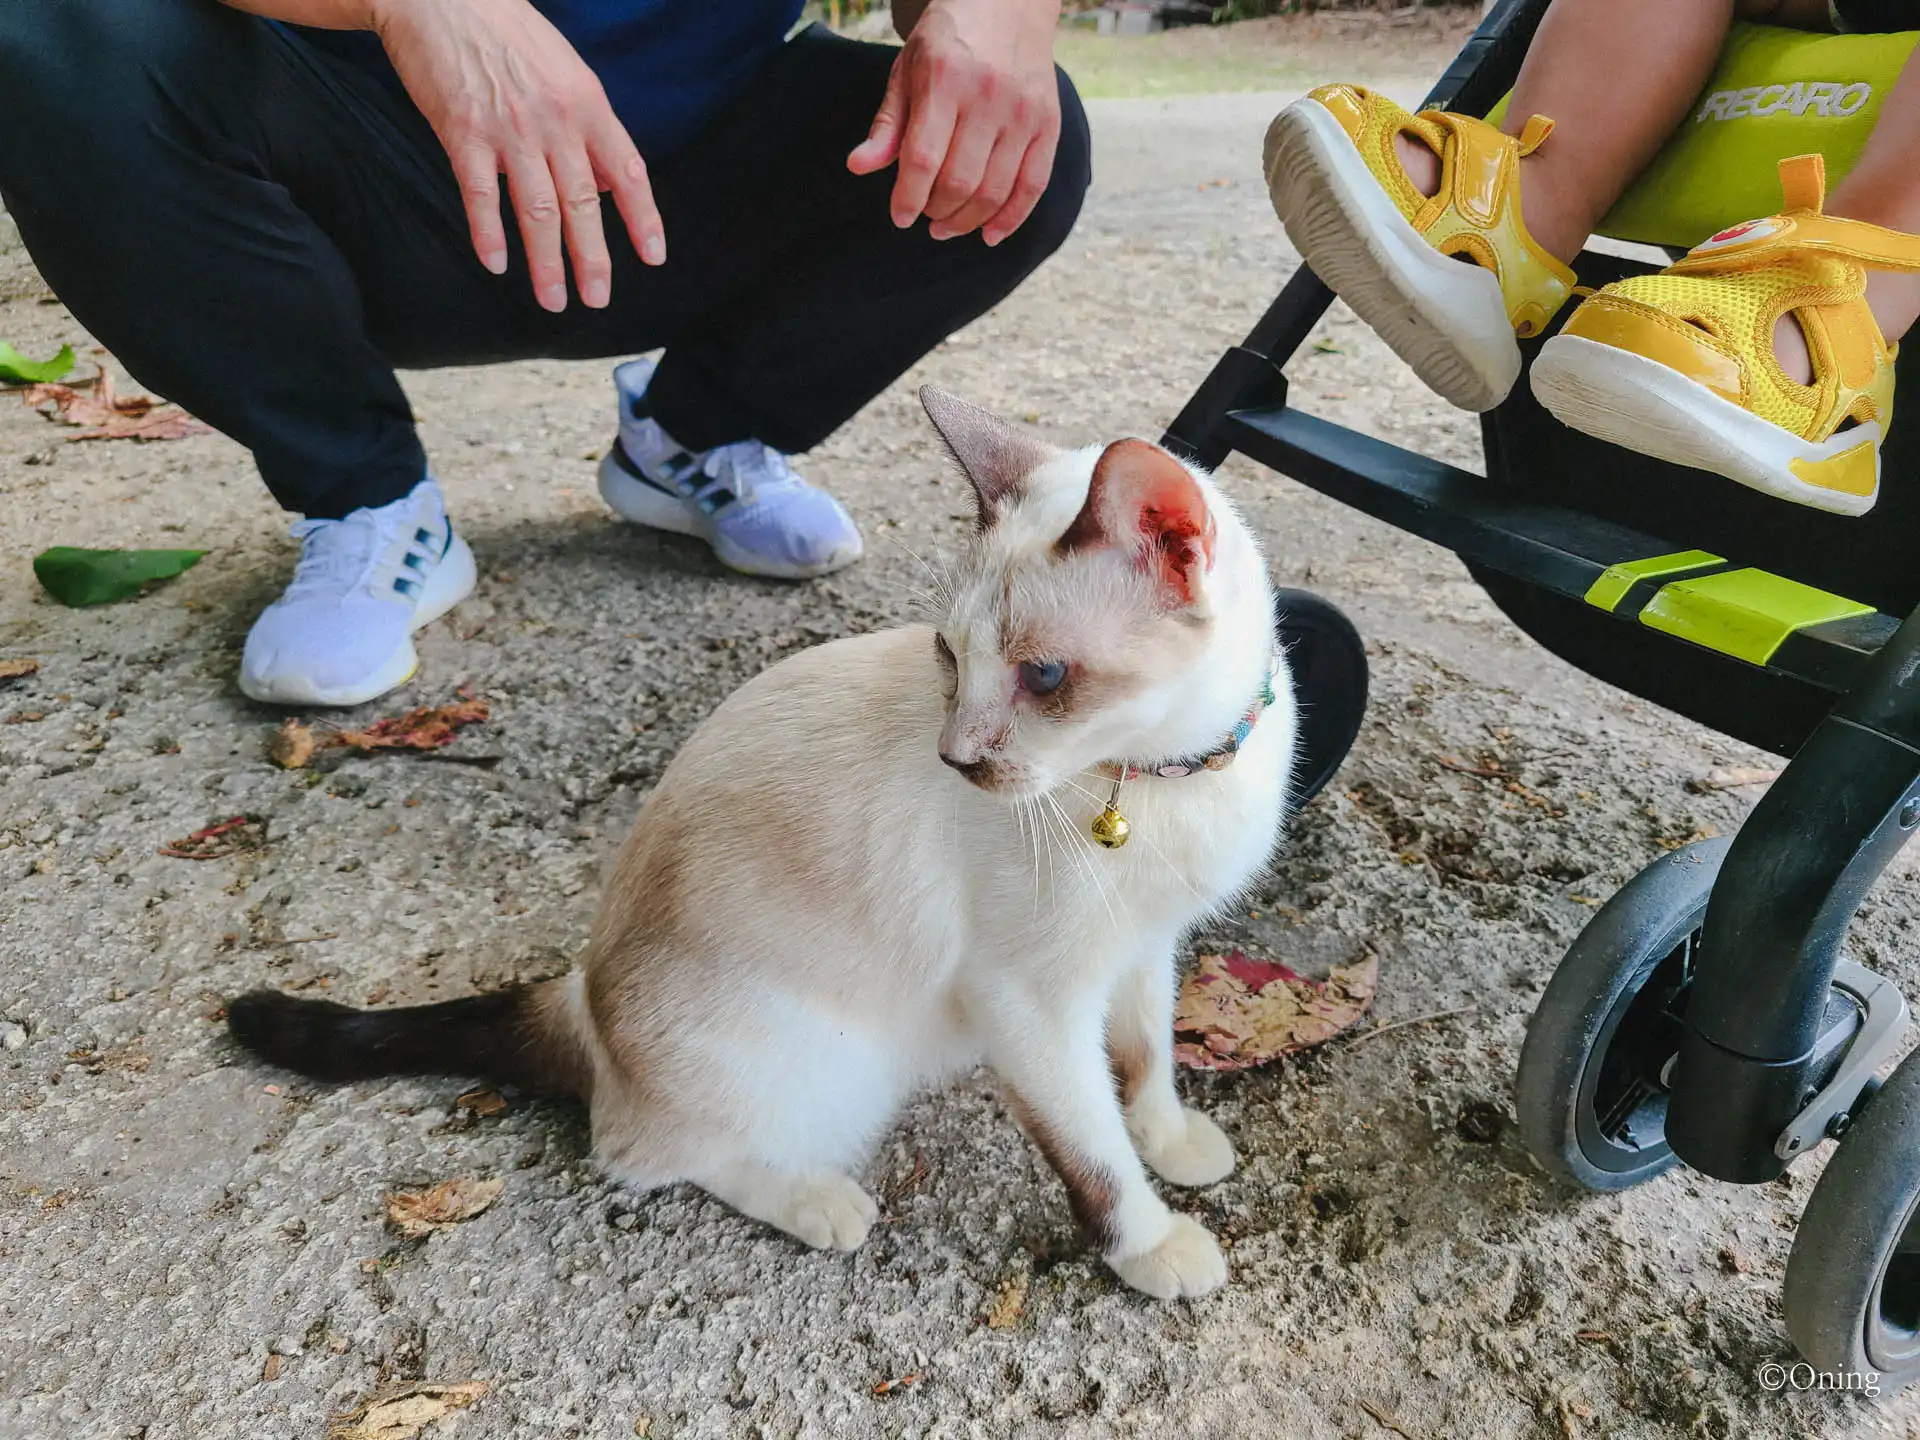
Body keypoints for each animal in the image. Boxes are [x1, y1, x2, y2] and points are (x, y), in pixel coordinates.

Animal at [232, 389, 1297, 1305]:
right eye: (951, 659)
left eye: (1041, 678)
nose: (953, 759)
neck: (1161, 775)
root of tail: (581, 994)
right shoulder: (1032, 1005)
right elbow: (1095, 1157)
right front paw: (1153, 1247)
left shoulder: (1146, 947)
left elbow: (1146, 1062)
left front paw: (1174, 1144)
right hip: (839, 1066)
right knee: (638, 1154)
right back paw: (821, 1202)